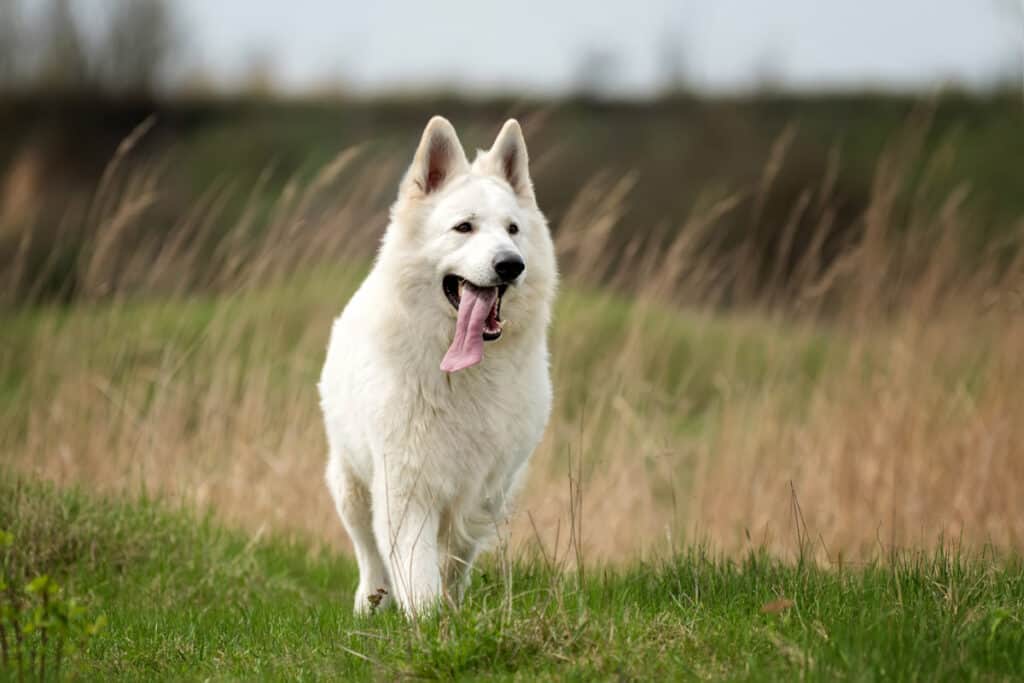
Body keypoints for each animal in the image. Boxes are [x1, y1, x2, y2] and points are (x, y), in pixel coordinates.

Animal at [319, 116, 561, 614]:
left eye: (512, 229)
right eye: (463, 227)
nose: (511, 265)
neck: (463, 373)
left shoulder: (485, 491)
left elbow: (454, 558)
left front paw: (450, 608)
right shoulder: (405, 488)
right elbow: (416, 568)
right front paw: (430, 620)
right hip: (350, 484)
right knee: (367, 551)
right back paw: (370, 600)